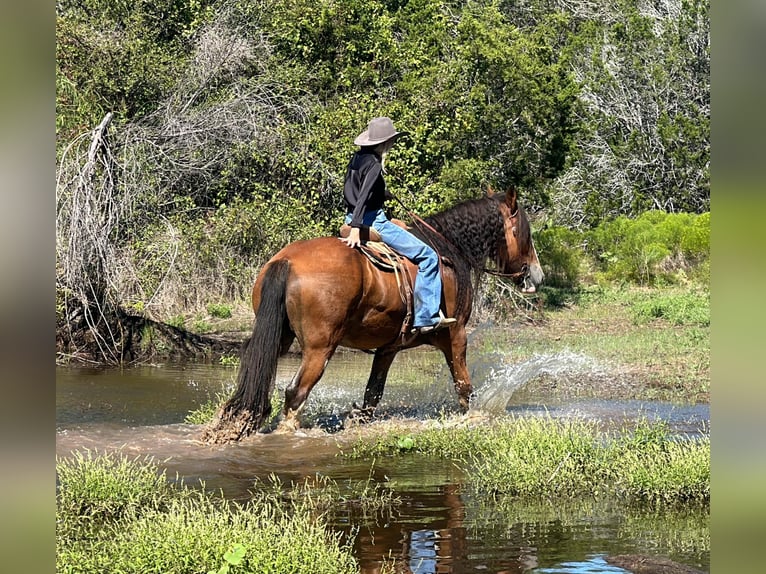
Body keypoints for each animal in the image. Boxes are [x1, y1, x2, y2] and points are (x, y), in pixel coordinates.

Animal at [203, 188, 543, 442]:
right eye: (523, 233)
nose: (537, 275)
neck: (449, 250)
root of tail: (286, 261)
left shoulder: (388, 348)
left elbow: (372, 394)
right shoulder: (455, 335)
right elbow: (464, 387)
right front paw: (471, 418)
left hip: (277, 337)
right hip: (319, 349)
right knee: (296, 393)